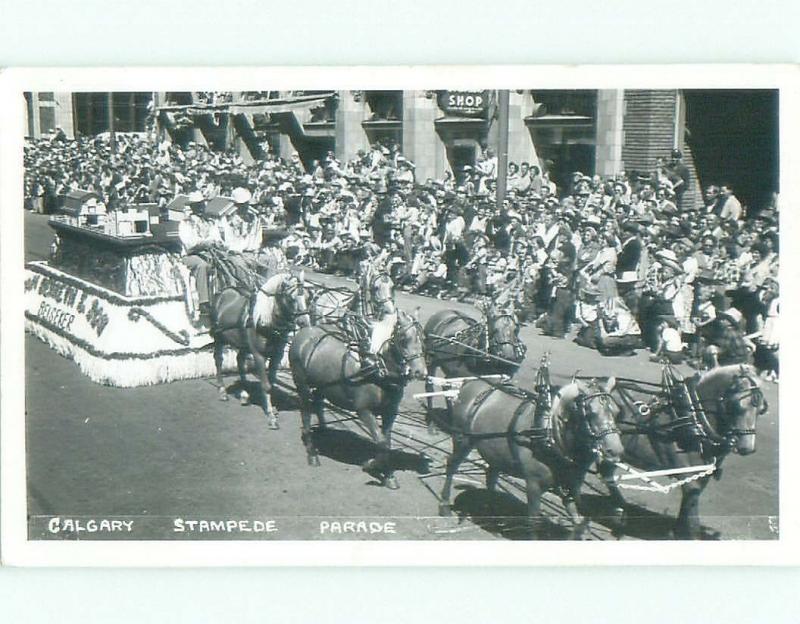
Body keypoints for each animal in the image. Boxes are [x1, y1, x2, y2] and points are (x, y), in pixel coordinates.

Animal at [286, 310, 424, 490]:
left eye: (422, 338)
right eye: (403, 339)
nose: (420, 372)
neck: (377, 368)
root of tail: (303, 332)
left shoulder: (390, 412)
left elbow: (386, 443)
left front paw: (388, 475)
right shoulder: (364, 410)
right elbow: (381, 442)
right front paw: (371, 465)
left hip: (321, 385)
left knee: (318, 403)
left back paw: (324, 431)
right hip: (302, 385)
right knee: (306, 413)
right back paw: (312, 453)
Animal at [604, 364, 764, 540]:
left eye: (761, 409)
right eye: (736, 405)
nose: (747, 447)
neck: (693, 419)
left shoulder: (702, 474)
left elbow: (688, 503)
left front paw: (677, 531)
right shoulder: (688, 473)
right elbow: (692, 509)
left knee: (606, 472)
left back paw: (619, 508)